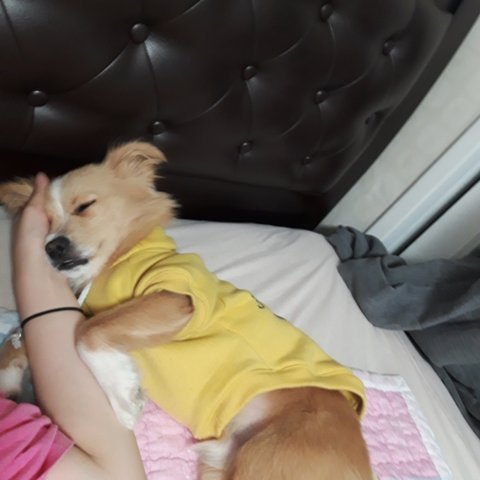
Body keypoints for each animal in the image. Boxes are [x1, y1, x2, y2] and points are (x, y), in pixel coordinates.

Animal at [0, 142, 372, 480]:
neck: (118, 259)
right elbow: (24, 338)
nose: (52, 247)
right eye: (46, 221)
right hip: (220, 466)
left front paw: (124, 399)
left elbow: (86, 332)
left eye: (84, 206)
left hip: (270, 458)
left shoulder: (176, 297)